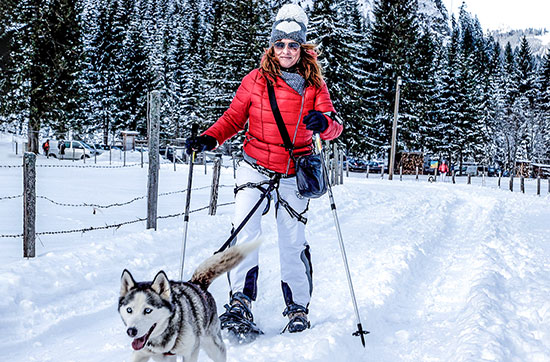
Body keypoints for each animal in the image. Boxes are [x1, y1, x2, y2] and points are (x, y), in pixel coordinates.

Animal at [118, 240, 258, 362]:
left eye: (147, 310)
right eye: (129, 310)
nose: (131, 331)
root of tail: (196, 283)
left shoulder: (191, 352)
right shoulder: (140, 354)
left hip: (214, 347)